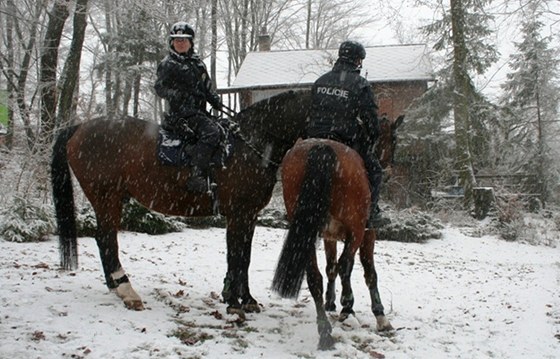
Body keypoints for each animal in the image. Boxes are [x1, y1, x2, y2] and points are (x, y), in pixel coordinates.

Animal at [51, 90, 310, 316]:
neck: (248, 145)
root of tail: (79, 128)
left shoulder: (250, 215)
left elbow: (244, 258)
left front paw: (246, 299)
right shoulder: (239, 214)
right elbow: (236, 257)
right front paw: (234, 303)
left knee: (104, 240)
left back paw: (116, 287)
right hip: (107, 198)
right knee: (106, 240)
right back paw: (127, 291)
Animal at [272, 116, 400, 350]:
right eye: (393, 140)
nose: (388, 172)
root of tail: (322, 147)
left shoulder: (328, 236)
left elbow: (330, 267)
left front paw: (330, 302)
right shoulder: (367, 234)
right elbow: (368, 271)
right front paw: (379, 316)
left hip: (306, 232)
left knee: (315, 276)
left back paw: (325, 332)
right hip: (356, 231)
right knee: (345, 265)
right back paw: (346, 309)